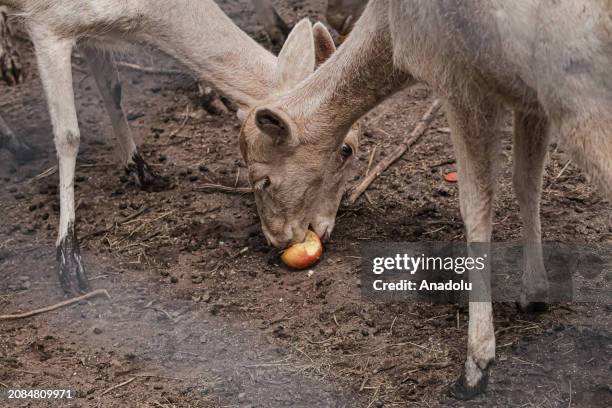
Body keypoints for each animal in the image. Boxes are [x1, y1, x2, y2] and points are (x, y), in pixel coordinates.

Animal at [0, 2, 360, 296]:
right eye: (346, 148)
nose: (323, 229)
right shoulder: (48, 24)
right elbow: (68, 135)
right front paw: (69, 261)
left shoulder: (92, 31)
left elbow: (113, 90)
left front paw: (143, 171)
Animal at [239, 0, 612, 400]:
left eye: (262, 181)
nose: (278, 240)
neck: (391, 31)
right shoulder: (526, 96)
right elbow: (527, 184)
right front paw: (535, 293)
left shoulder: (459, 78)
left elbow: (476, 205)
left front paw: (475, 366)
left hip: (581, 98)